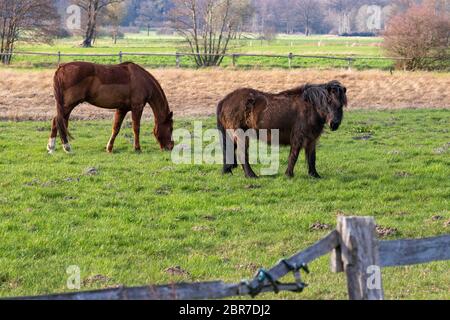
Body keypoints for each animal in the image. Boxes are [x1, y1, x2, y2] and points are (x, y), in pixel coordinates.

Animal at [218, 81, 348, 179]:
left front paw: (314, 175)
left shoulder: (311, 139)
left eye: (341, 104)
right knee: (242, 154)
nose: (334, 124)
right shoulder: (298, 137)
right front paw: (289, 174)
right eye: (328, 101)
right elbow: (293, 156)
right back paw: (251, 175)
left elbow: (311, 158)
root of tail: (225, 100)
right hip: (241, 136)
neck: (310, 107)